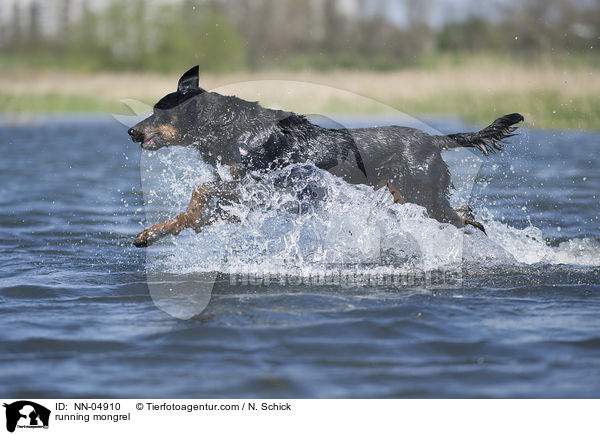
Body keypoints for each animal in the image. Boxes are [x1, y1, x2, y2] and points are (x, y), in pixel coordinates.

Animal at [129, 66, 524, 247]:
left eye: (160, 114)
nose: (132, 132)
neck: (231, 130)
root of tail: (435, 139)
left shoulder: (261, 188)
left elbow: (200, 192)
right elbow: (194, 212)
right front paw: (152, 233)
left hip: (422, 194)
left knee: (463, 218)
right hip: (408, 196)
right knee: (462, 211)